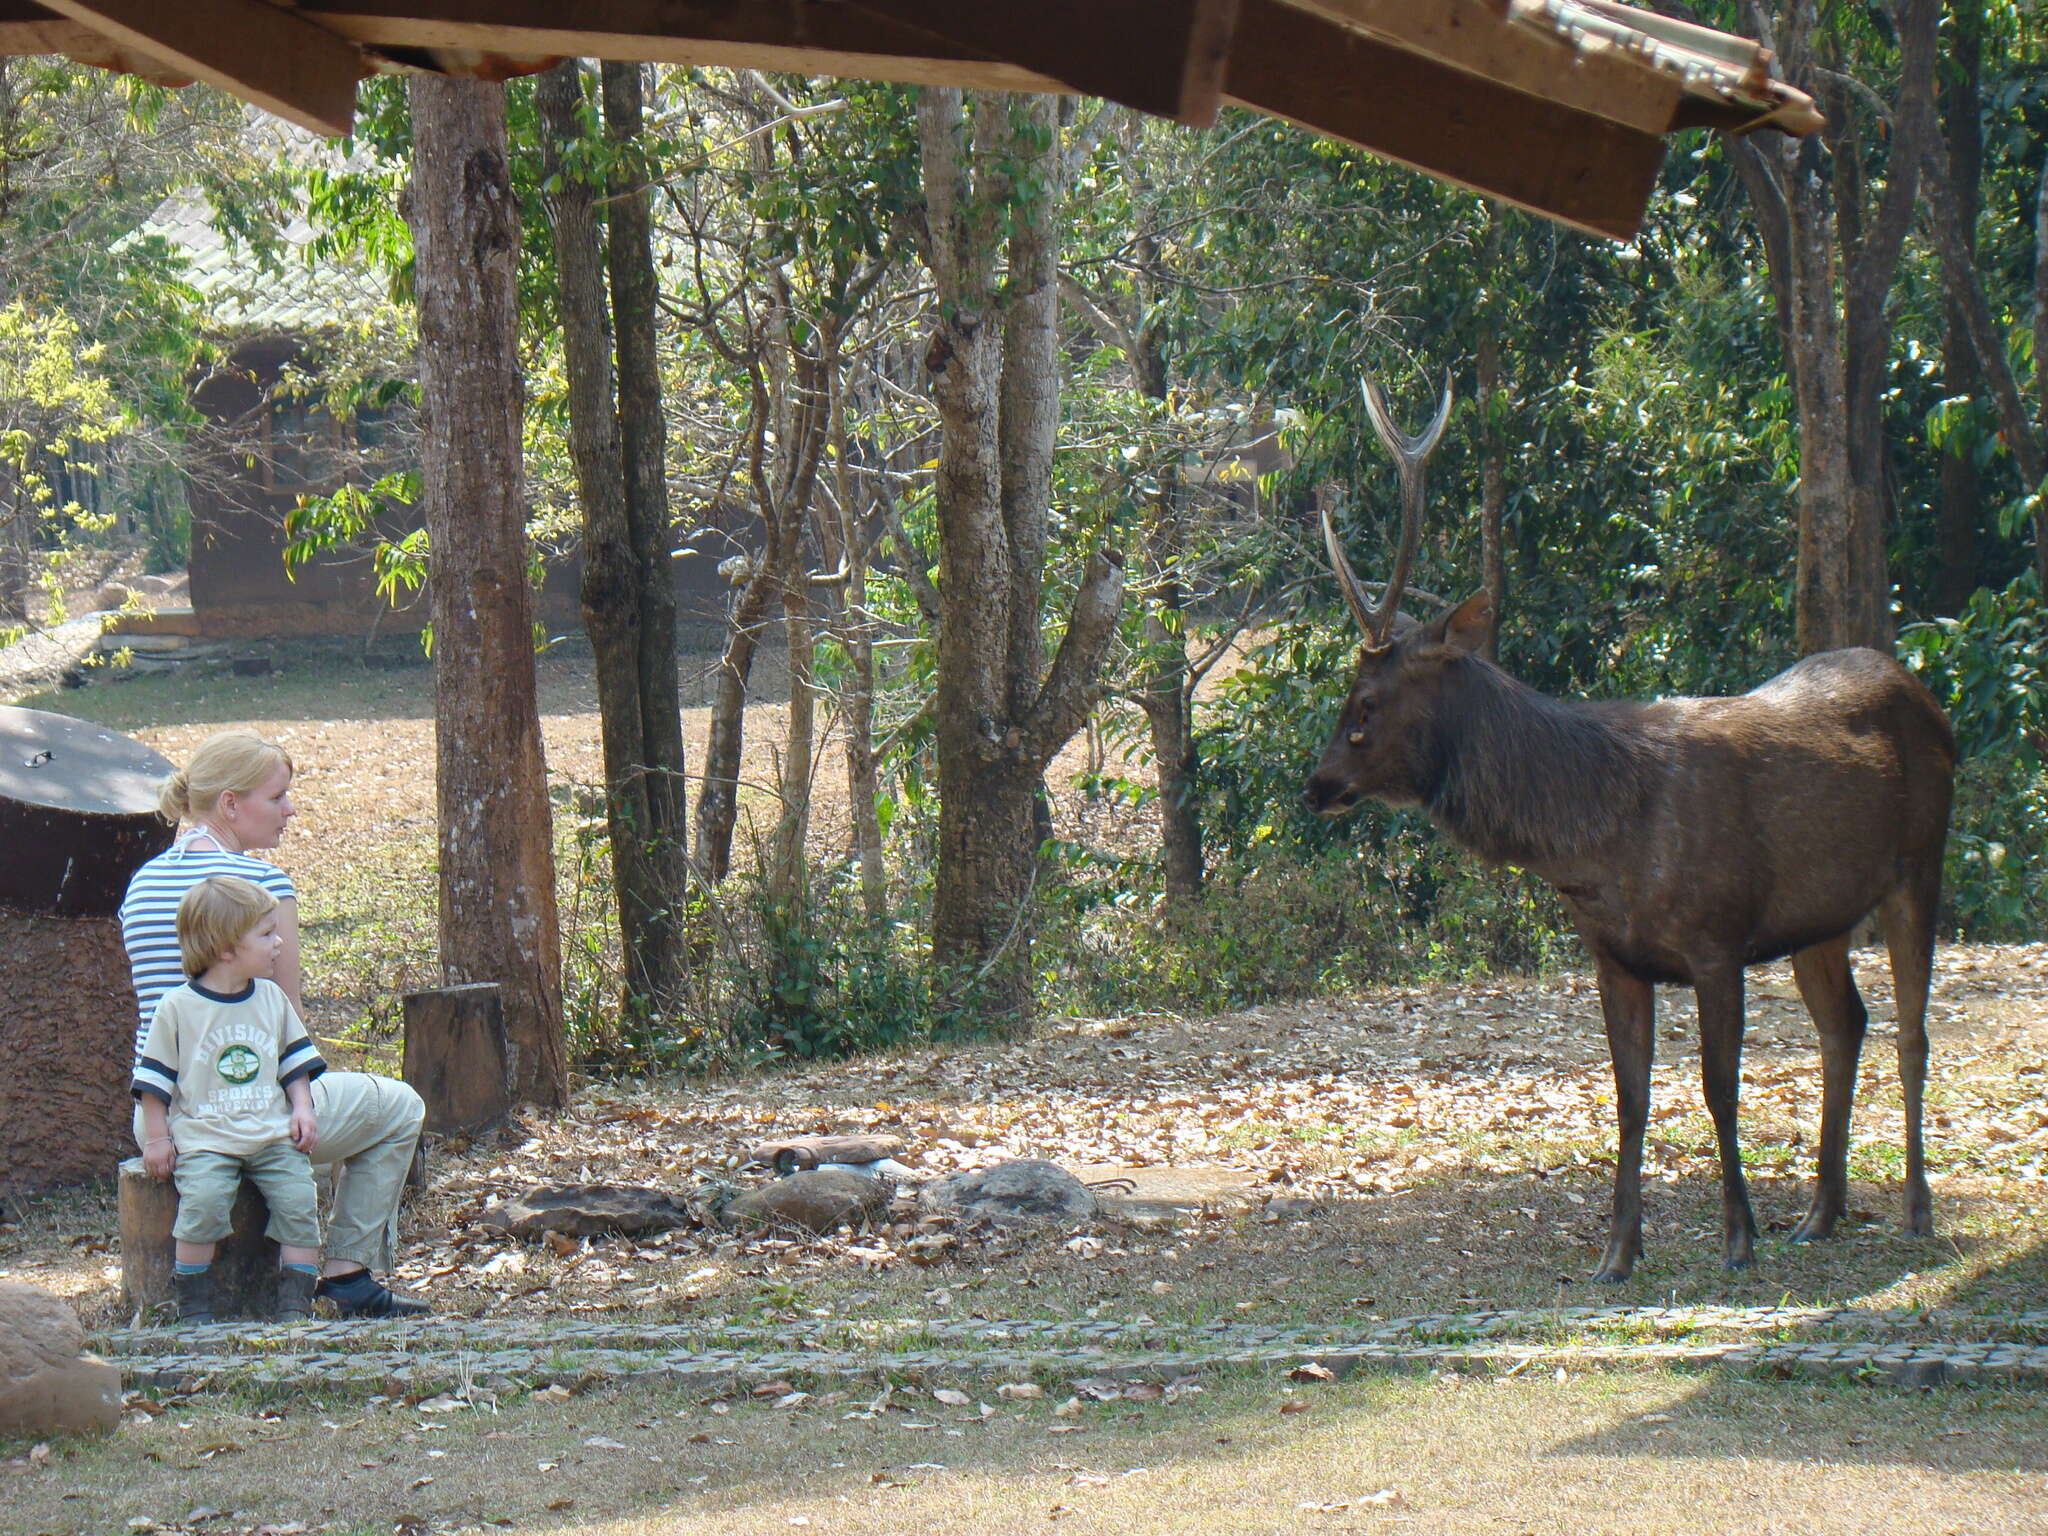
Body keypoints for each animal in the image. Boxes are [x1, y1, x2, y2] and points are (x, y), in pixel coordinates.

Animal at [1302, 376, 1957, 1286]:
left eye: (1364, 706)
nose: (1315, 785)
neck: (1596, 841)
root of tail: (1927, 696)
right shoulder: (1614, 956)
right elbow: (1630, 1096)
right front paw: (1617, 1252)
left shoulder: (1718, 938)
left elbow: (1718, 1086)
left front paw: (1737, 1238)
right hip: (1819, 916)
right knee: (1846, 1024)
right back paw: (1819, 1214)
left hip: (1921, 862)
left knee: (1913, 1031)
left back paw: (1915, 1211)